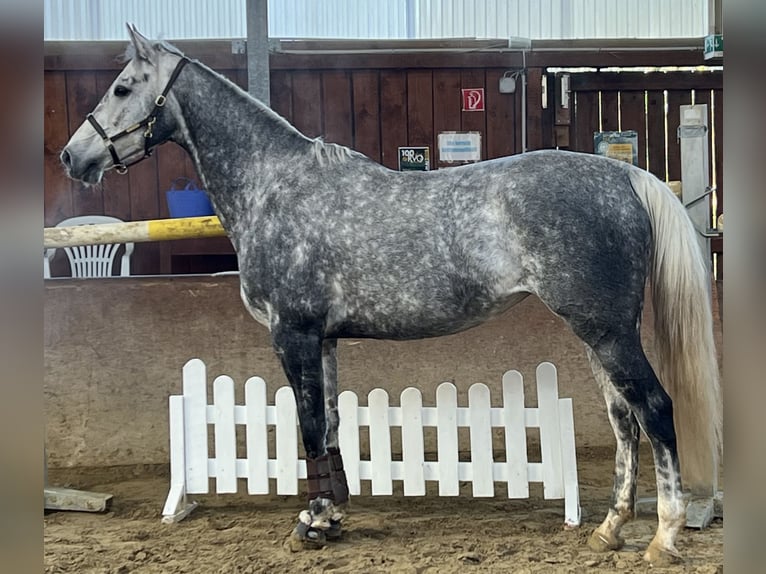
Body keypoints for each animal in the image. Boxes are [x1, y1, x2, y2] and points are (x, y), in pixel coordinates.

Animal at [60, 25, 721, 565]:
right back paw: (608, 530)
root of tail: (622, 173)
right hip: (596, 333)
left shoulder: (293, 334)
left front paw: (311, 522)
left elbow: (306, 427)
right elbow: (327, 426)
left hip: (608, 333)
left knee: (654, 409)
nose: (72, 156)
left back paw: (664, 535)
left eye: (122, 87)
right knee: (623, 421)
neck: (275, 187)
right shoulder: (323, 340)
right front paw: (330, 519)